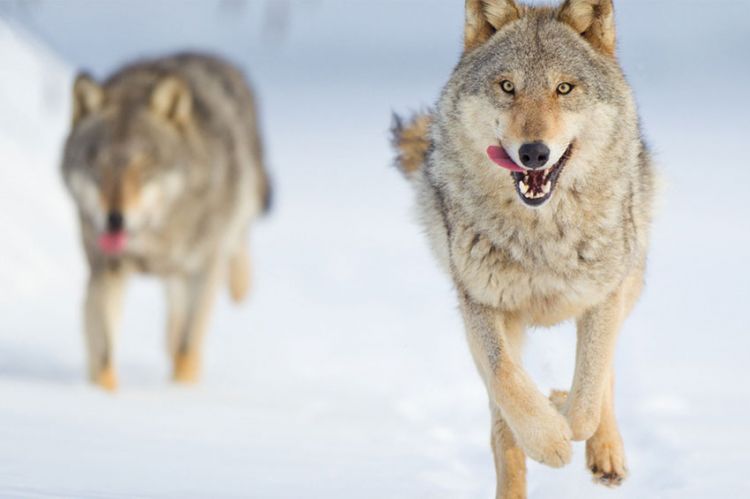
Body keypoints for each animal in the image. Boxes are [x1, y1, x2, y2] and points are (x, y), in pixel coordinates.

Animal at [62, 53, 274, 390]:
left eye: (144, 166)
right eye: (98, 166)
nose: (114, 220)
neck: (154, 242)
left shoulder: (203, 270)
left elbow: (188, 344)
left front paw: (180, 392)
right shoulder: (106, 271)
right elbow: (104, 353)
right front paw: (101, 396)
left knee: (237, 252)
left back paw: (240, 289)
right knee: (172, 319)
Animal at [394, 1, 656, 498]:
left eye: (564, 88)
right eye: (507, 87)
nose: (533, 152)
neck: (541, 238)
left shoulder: (604, 298)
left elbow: (588, 396)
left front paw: (566, 415)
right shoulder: (480, 303)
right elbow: (507, 380)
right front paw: (549, 439)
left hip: (630, 281)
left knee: (605, 375)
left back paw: (605, 453)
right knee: (502, 421)